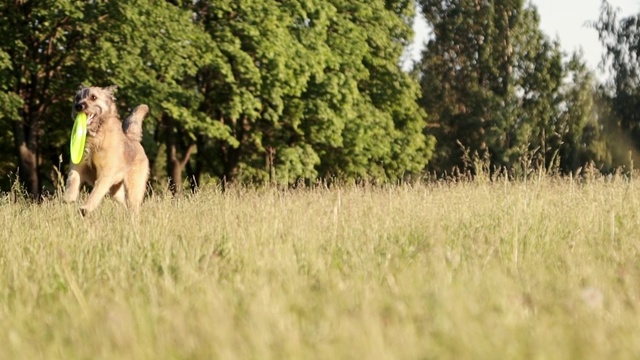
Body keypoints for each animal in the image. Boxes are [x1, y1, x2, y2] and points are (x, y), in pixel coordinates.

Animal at [64, 85, 151, 214]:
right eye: (77, 98)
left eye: (93, 97)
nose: (78, 106)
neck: (96, 136)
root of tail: (132, 138)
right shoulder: (77, 166)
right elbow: (72, 180)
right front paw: (68, 199)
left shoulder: (105, 174)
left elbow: (96, 193)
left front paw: (85, 208)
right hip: (115, 191)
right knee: (123, 203)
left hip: (134, 187)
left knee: (133, 206)